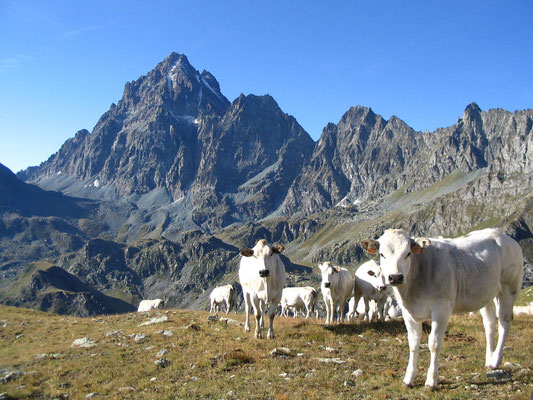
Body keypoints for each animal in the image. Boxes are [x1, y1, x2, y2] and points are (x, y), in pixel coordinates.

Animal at [360, 228, 520, 390]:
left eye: (408, 253)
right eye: (382, 254)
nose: (395, 277)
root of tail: (501, 234)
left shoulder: (441, 309)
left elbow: (434, 344)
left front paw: (431, 380)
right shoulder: (408, 313)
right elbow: (413, 343)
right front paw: (408, 378)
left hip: (509, 288)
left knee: (504, 323)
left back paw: (495, 360)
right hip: (485, 294)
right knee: (489, 324)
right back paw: (489, 359)